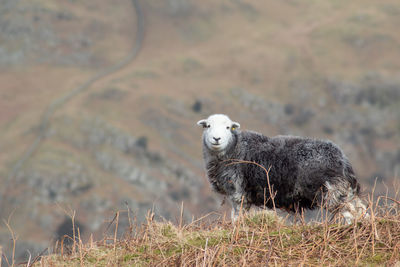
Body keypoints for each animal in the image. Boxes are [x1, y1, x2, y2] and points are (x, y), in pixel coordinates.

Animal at [195, 114, 368, 223]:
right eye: (208, 126)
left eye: (227, 127)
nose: (216, 139)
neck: (233, 149)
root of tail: (340, 157)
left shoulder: (237, 192)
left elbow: (236, 218)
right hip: (344, 190)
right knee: (361, 210)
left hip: (330, 191)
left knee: (349, 213)